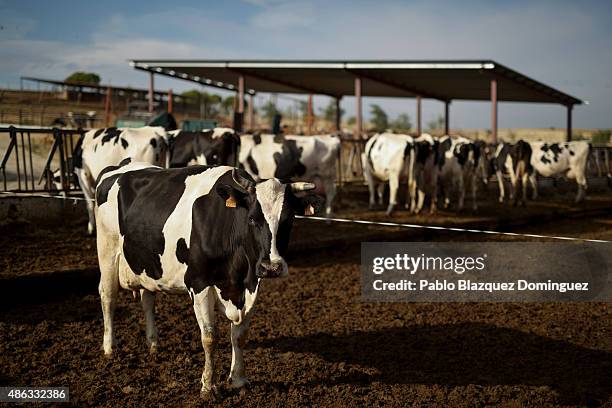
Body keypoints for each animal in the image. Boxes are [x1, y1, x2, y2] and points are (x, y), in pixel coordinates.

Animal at [94, 159, 320, 398]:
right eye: (251, 219)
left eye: (289, 219)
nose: (272, 267)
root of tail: (121, 165)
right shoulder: (199, 283)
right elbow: (210, 337)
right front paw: (208, 386)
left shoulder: (251, 286)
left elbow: (240, 335)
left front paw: (239, 380)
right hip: (107, 252)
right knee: (108, 297)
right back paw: (110, 347)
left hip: (146, 262)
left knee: (148, 299)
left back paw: (153, 343)